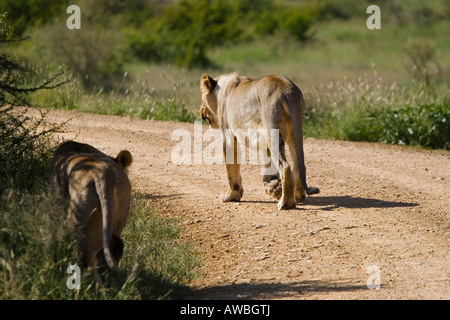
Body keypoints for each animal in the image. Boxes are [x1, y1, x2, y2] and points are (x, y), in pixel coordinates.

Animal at [199, 72, 318, 210]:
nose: (200, 110)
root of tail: (288, 90)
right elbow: (268, 166)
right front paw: (272, 186)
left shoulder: (229, 136)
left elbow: (231, 169)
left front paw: (230, 196)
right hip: (293, 132)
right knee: (298, 164)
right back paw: (298, 196)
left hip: (272, 130)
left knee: (285, 166)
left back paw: (285, 203)